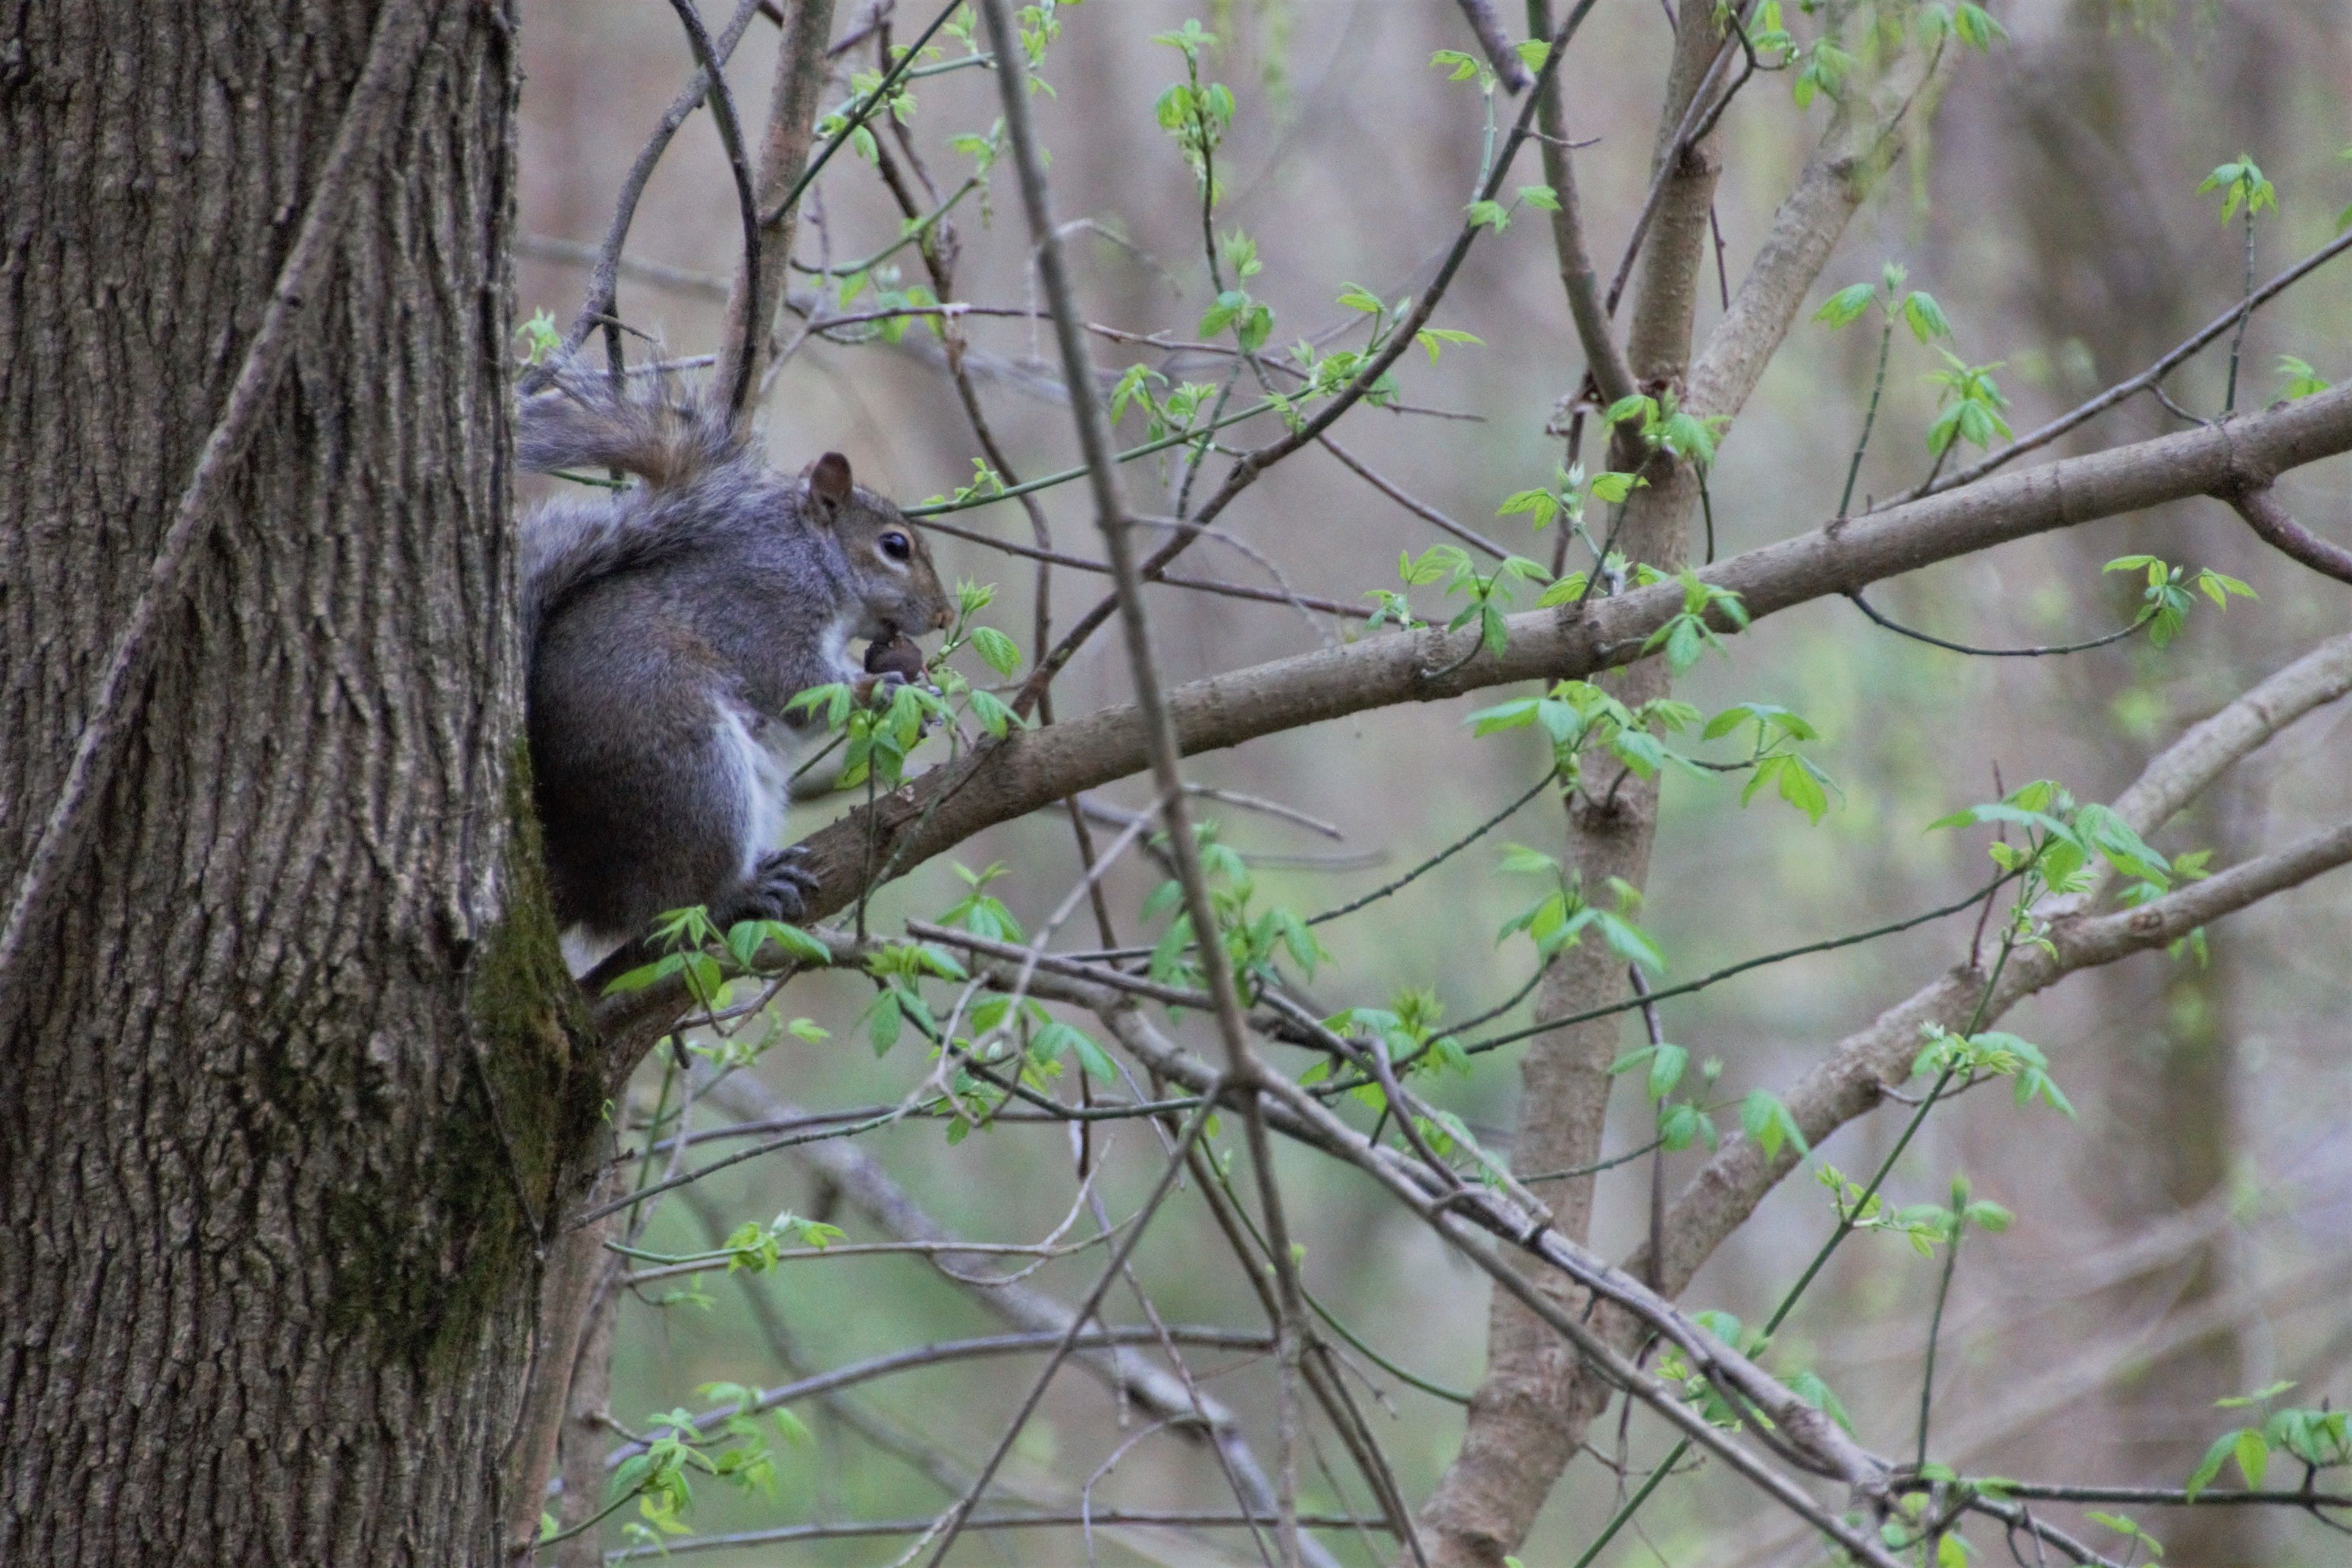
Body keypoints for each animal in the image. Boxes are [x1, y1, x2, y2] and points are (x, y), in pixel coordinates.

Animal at [516, 381, 954, 975]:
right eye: (895, 546)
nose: (945, 615)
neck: (814, 558)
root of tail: (589, 889)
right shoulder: (758, 612)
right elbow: (798, 688)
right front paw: (887, 690)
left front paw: (924, 699)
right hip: (696, 781)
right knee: (675, 905)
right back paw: (741, 894)